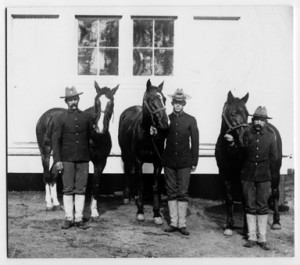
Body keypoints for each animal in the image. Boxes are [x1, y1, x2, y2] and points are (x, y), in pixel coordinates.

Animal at [35, 80, 118, 219]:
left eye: (111, 102)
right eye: (96, 101)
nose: (100, 128)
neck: (97, 137)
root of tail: (47, 115)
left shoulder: (101, 162)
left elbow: (95, 185)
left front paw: (94, 212)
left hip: (59, 155)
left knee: (52, 174)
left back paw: (56, 203)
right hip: (45, 151)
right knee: (46, 174)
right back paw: (49, 204)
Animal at [117, 79, 169, 224]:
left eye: (164, 99)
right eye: (151, 100)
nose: (164, 124)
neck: (147, 135)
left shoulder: (158, 162)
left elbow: (155, 186)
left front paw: (157, 214)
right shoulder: (139, 160)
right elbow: (141, 184)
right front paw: (140, 212)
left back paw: (135, 197)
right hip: (126, 154)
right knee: (128, 171)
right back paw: (127, 197)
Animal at [214, 91, 282, 235]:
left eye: (246, 113)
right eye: (233, 113)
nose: (245, 139)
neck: (231, 151)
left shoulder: (244, 176)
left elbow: (245, 199)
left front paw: (246, 228)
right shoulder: (225, 174)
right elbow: (229, 198)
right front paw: (229, 226)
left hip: (275, 171)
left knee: (274, 193)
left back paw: (276, 222)